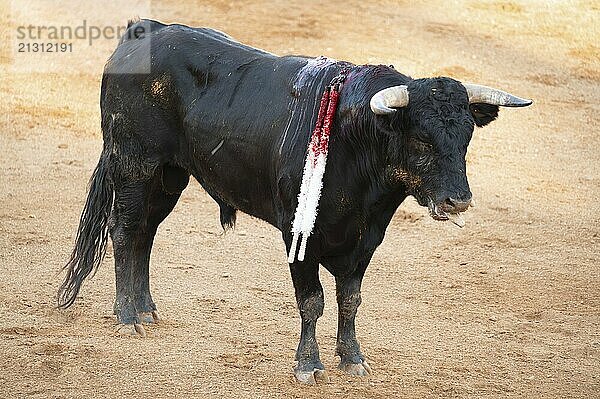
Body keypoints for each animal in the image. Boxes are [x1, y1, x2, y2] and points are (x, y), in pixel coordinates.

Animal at [58, 20, 532, 386]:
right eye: (420, 138)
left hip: (170, 175)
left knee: (146, 233)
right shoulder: (297, 233)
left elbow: (350, 299)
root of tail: (142, 30)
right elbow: (313, 300)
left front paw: (353, 359)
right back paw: (127, 316)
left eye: (467, 136)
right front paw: (308, 365)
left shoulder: (366, 241)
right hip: (135, 164)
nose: (459, 200)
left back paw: (147, 308)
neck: (354, 141)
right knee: (124, 230)